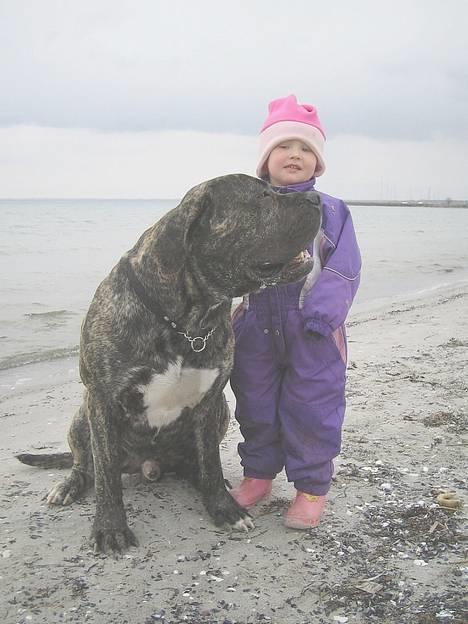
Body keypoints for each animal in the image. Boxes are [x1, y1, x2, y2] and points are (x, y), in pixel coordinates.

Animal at [16, 173, 320, 552]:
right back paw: (71, 484)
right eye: (262, 197)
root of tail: (147, 465)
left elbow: (211, 461)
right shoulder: (101, 400)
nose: (316, 199)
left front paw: (222, 507)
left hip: (222, 411)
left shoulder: (209, 401)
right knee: (85, 463)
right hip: (81, 416)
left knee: (197, 463)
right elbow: (105, 476)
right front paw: (110, 527)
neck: (187, 320)